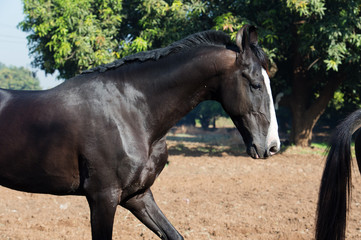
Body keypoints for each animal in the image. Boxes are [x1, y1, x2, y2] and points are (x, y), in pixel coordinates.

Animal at [0, 25, 278, 239]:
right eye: (255, 84)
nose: (271, 146)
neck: (130, 112)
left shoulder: (138, 196)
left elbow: (174, 234)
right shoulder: (103, 198)